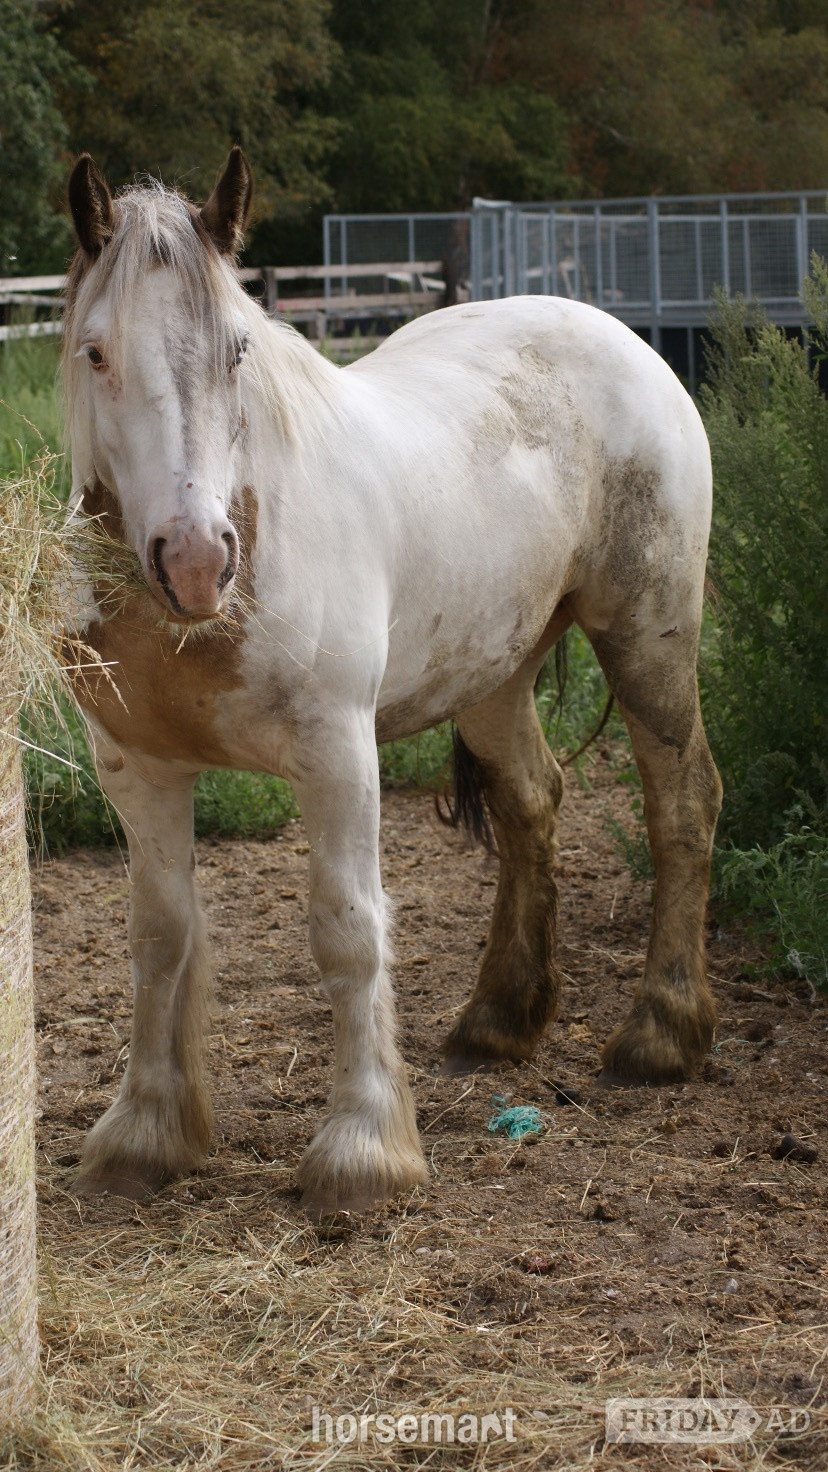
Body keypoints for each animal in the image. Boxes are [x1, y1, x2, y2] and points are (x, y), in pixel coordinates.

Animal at [62, 149, 721, 1217]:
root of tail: (613, 332)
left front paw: (363, 1151)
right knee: (533, 802)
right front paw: (146, 1132)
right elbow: (160, 936)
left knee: (682, 803)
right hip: (495, 673)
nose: (196, 560)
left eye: (238, 350)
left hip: (650, 637)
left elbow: (348, 931)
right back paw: (499, 1018)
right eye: (95, 352)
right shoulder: (139, 769)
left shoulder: (337, 754)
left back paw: (661, 1034)